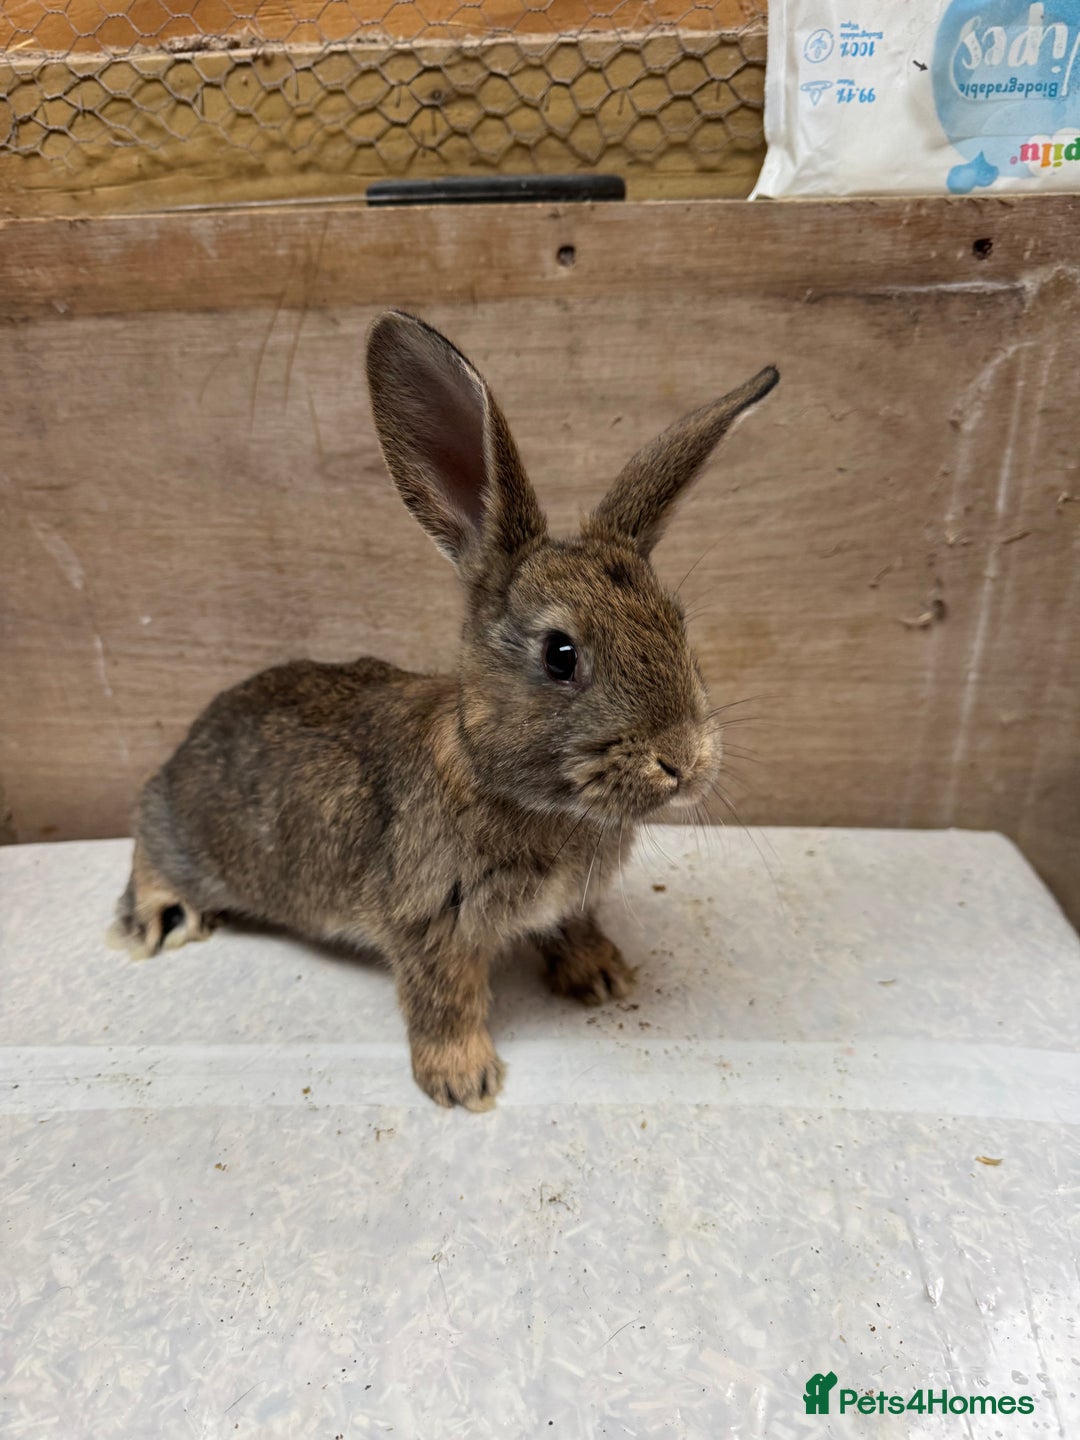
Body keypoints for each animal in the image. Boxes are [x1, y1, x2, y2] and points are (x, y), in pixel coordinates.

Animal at [110, 311, 778, 1111]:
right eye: (561, 654)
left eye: (679, 627)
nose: (684, 760)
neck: (510, 784)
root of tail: (186, 747)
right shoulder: (430, 919)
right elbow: (445, 998)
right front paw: (464, 1080)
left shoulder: (568, 901)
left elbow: (573, 926)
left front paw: (603, 975)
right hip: (185, 835)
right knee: (147, 838)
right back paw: (157, 917)